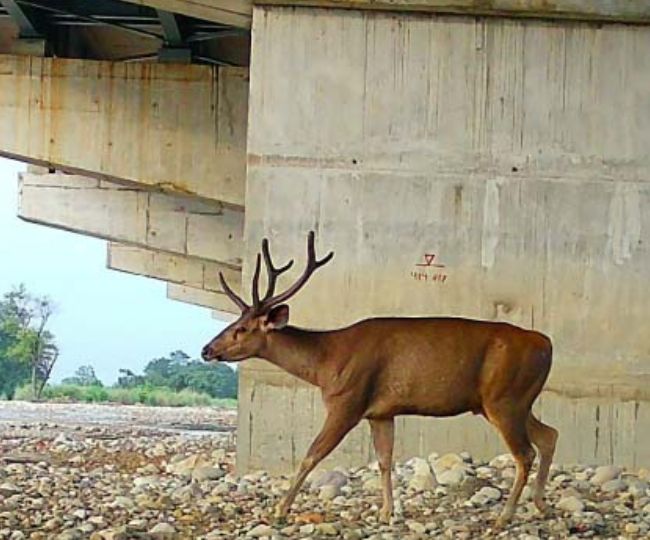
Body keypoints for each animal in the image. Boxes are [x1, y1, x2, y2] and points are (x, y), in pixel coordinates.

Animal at [201, 231, 558, 527]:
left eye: (241, 329)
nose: (207, 349)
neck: (325, 364)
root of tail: (546, 343)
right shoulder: (381, 412)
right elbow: (385, 460)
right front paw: (387, 512)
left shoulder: (348, 401)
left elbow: (311, 454)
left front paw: (280, 510)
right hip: (514, 401)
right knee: (549, 435)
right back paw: (541, 505)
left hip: (504, 398)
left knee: (525, 452)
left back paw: (505, 516)